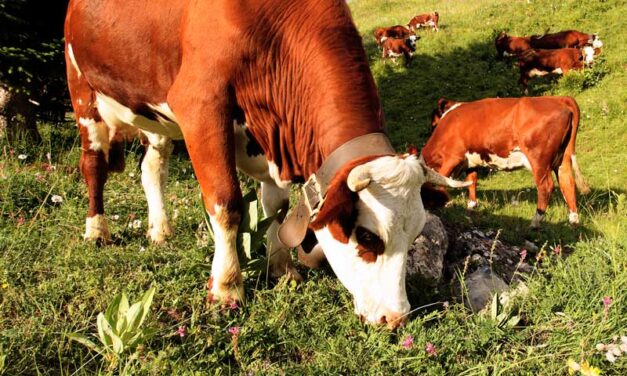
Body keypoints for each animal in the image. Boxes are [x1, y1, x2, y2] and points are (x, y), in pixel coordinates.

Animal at [66, 0, 468, 328]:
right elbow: (226, 203)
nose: (396, 318)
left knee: (152, 169)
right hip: (83, 89)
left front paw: (282, 269)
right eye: (369, 236)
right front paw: (227, 288)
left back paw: (160, 229)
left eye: (415, 235)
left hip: (153, 111)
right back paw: (96, 230)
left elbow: (276, 206)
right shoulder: (200, 106)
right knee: (94, 166)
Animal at [420, 95, 592, 228]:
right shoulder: (471, 161)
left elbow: (442, 181)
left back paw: (535, 222)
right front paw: (471, 207)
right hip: (563, 158)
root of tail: (559, 99)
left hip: (539, 159)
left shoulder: (452, 157)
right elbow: (472, 181)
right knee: (568, 183)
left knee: (546, 186)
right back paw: (573, 221)